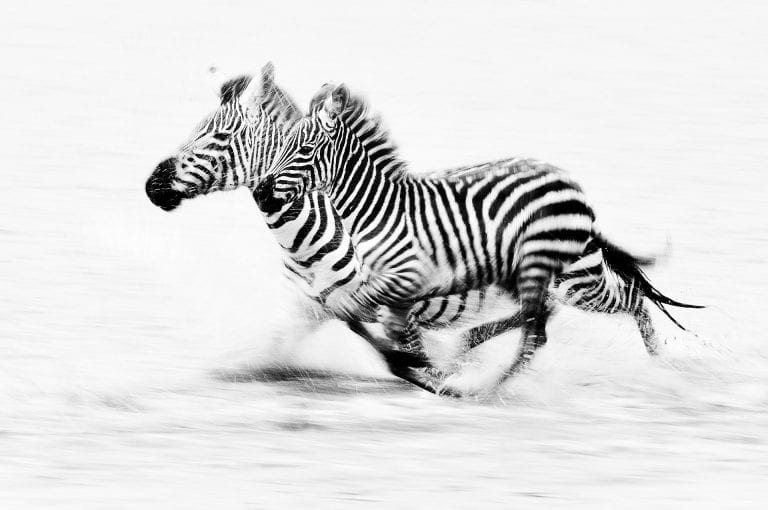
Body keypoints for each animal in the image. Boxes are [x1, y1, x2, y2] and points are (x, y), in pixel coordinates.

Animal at [144, 63, 516, 390]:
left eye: (221, 135)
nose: (152, 186)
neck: (305, 243)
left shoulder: (399, 304)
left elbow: (408, 355)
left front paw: (432, 372)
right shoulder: (303, 310)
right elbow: (269, 356)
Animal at [258, 82, 704, 394]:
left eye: (306, 148)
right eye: (281, 144)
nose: (262, 194)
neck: (377, 209)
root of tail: (570, 187)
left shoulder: (403, 282)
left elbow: (350, 313)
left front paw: (424, 371)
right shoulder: (387, 291)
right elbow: (348, 317)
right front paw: (419, 367)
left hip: (577, 281)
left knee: (627, 301)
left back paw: (660, 368)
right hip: (522, 275)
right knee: (540, 316)